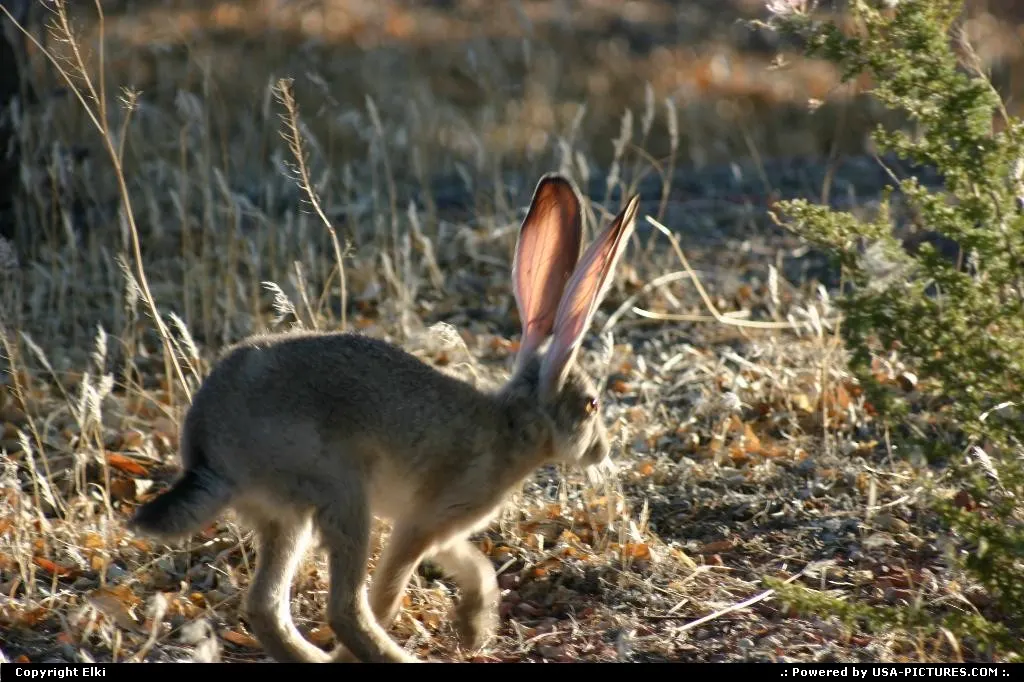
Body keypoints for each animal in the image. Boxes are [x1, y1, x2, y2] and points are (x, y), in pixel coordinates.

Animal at [128, 172, 640, 663]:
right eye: (591, 404)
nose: (601, 450)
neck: (513, 426)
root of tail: (208, 454)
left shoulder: (439, 530)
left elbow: (476, 567)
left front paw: (475, 627)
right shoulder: (424, 521)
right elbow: (389, 592)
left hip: (285, 516)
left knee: (265, 606)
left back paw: (315, 659)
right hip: (342, 496)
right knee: (345, 608)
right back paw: (383, 659)